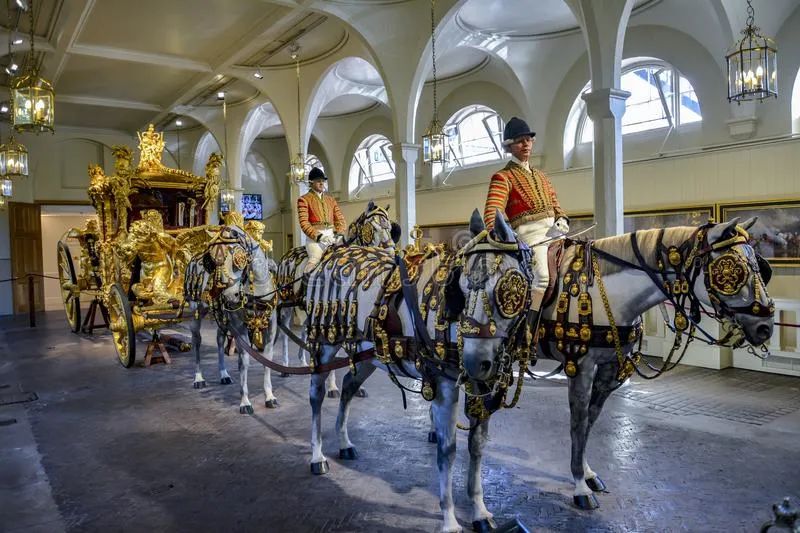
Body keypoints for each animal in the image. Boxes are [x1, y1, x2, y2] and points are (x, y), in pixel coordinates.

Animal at [184, 223, 280, 414]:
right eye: (211, 260)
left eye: (238, 257)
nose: (229, 295)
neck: (257, 290)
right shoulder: (239, 325)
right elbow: (245, 362)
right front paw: (245, 401)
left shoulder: (271, 325)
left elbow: (267, 359)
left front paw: (269, 396)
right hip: (196, 310)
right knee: (196, 340)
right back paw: (198, 378)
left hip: (221, 316)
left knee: (220, 339)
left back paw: (224, 374)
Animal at [275, 200, 397, 397]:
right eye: (373, 227)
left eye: (390, 227)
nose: (391, 252)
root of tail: (287, 255)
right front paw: (332, 387)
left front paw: (358, 387)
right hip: (286, 305)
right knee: (285, 332)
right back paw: (285, 367)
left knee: (302, 329)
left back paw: (303, 361)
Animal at [303, 209, 536, 533]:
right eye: (463, 288)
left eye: (507, 288)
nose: (474, 363)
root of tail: (332, 255)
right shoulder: (444, 386)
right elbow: (447, 451)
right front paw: (449, 519)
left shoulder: (481, 386)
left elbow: (477, 446)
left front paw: (479, 510)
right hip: (325, 342)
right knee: (317, 394)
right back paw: (317, 455)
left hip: (368, 354)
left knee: (349, 386)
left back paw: (345, 442)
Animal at [461, 217, 775, 510]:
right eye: (734, 269)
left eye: (760, 267)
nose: (765, 328)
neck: (609, 295)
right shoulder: (581, 367)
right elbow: (578, 422)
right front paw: (580, 486)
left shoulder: (610, 368)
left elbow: (590, 420)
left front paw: (587, 473)